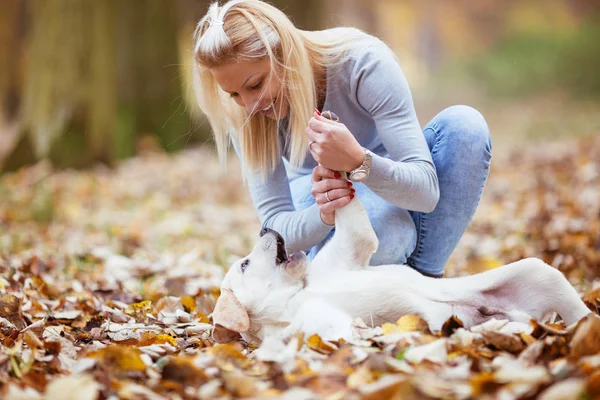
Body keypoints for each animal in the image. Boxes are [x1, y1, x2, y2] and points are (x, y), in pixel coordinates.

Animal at [212, 195, 592, 342]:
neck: (297, 295)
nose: (266, 229)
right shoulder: (323, 327)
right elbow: (345, 334)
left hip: (539, 272)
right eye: (245, 264)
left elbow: (348, 211)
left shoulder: (351, 245)